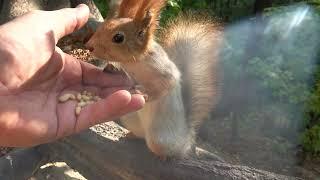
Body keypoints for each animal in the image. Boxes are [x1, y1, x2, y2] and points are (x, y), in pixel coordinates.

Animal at [85, 0, 222, 158]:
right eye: (103, 26)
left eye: (118, 38)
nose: (89, 46)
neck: (133, 62)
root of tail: (186, 138)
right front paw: (112, 69)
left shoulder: (163, 69)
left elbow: (167, 84)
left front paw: (146, 94)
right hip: (131, 119)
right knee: (140, 135)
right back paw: (132, 135)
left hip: (160, 139)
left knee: (172, 150)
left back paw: (165, 156)